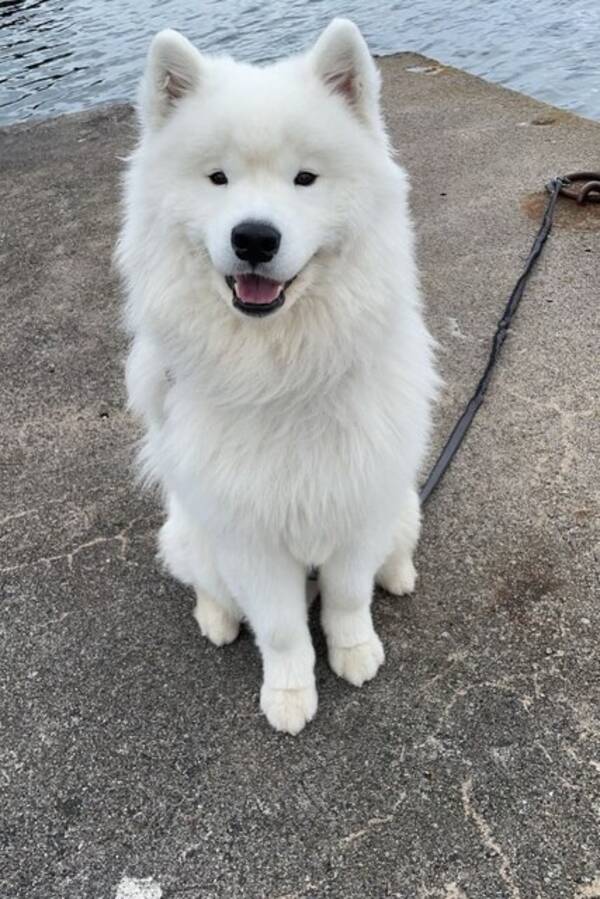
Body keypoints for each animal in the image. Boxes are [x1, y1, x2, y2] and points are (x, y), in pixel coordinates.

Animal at [116, 17, 436, 736]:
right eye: (217, 178)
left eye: (305, 178)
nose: (254, 238)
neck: (282, 371)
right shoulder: (249, 536)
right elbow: (284, 628)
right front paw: (289, 694)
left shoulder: (357, 504)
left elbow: (345, 598)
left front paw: (355, 651)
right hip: (192, 532)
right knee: (207, 585)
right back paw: (215, 617)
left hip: (401, 501)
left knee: (395, 550)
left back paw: (399, 574)